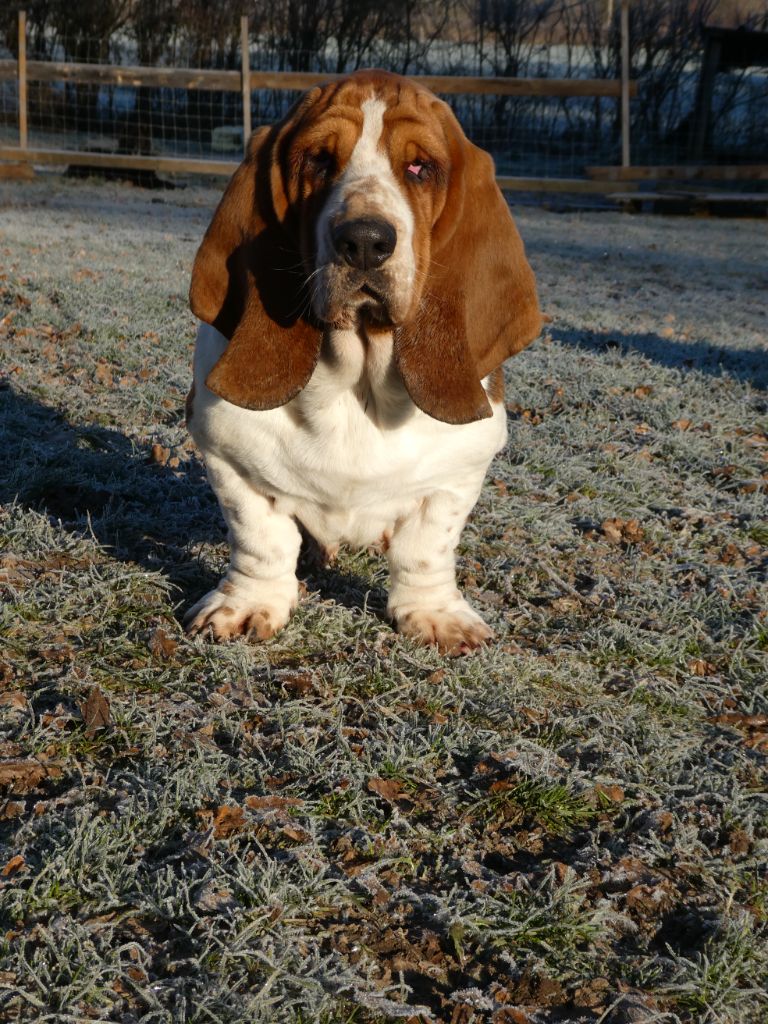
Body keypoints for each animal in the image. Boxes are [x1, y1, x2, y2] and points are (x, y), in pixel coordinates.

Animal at [184, 68, 540, 655]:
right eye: (318, 160)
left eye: (420, 167)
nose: (366, 241)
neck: (356, 379)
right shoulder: (225, 454)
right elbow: (260, 539)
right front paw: (248, 604)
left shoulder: (459, 471)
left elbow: (426, 547)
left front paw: (435, 614)